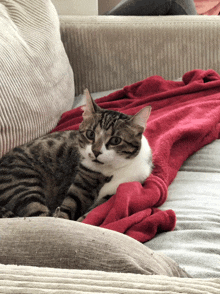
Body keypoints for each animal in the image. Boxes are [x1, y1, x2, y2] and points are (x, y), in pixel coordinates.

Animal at [0, 89, 152, 220]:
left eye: (115, 140)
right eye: (90, 134)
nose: (96, 151)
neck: (112, 170)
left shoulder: (124, 186)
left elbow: (96, 209)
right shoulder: (81, 186)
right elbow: (68, 209)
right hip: (23, 182)